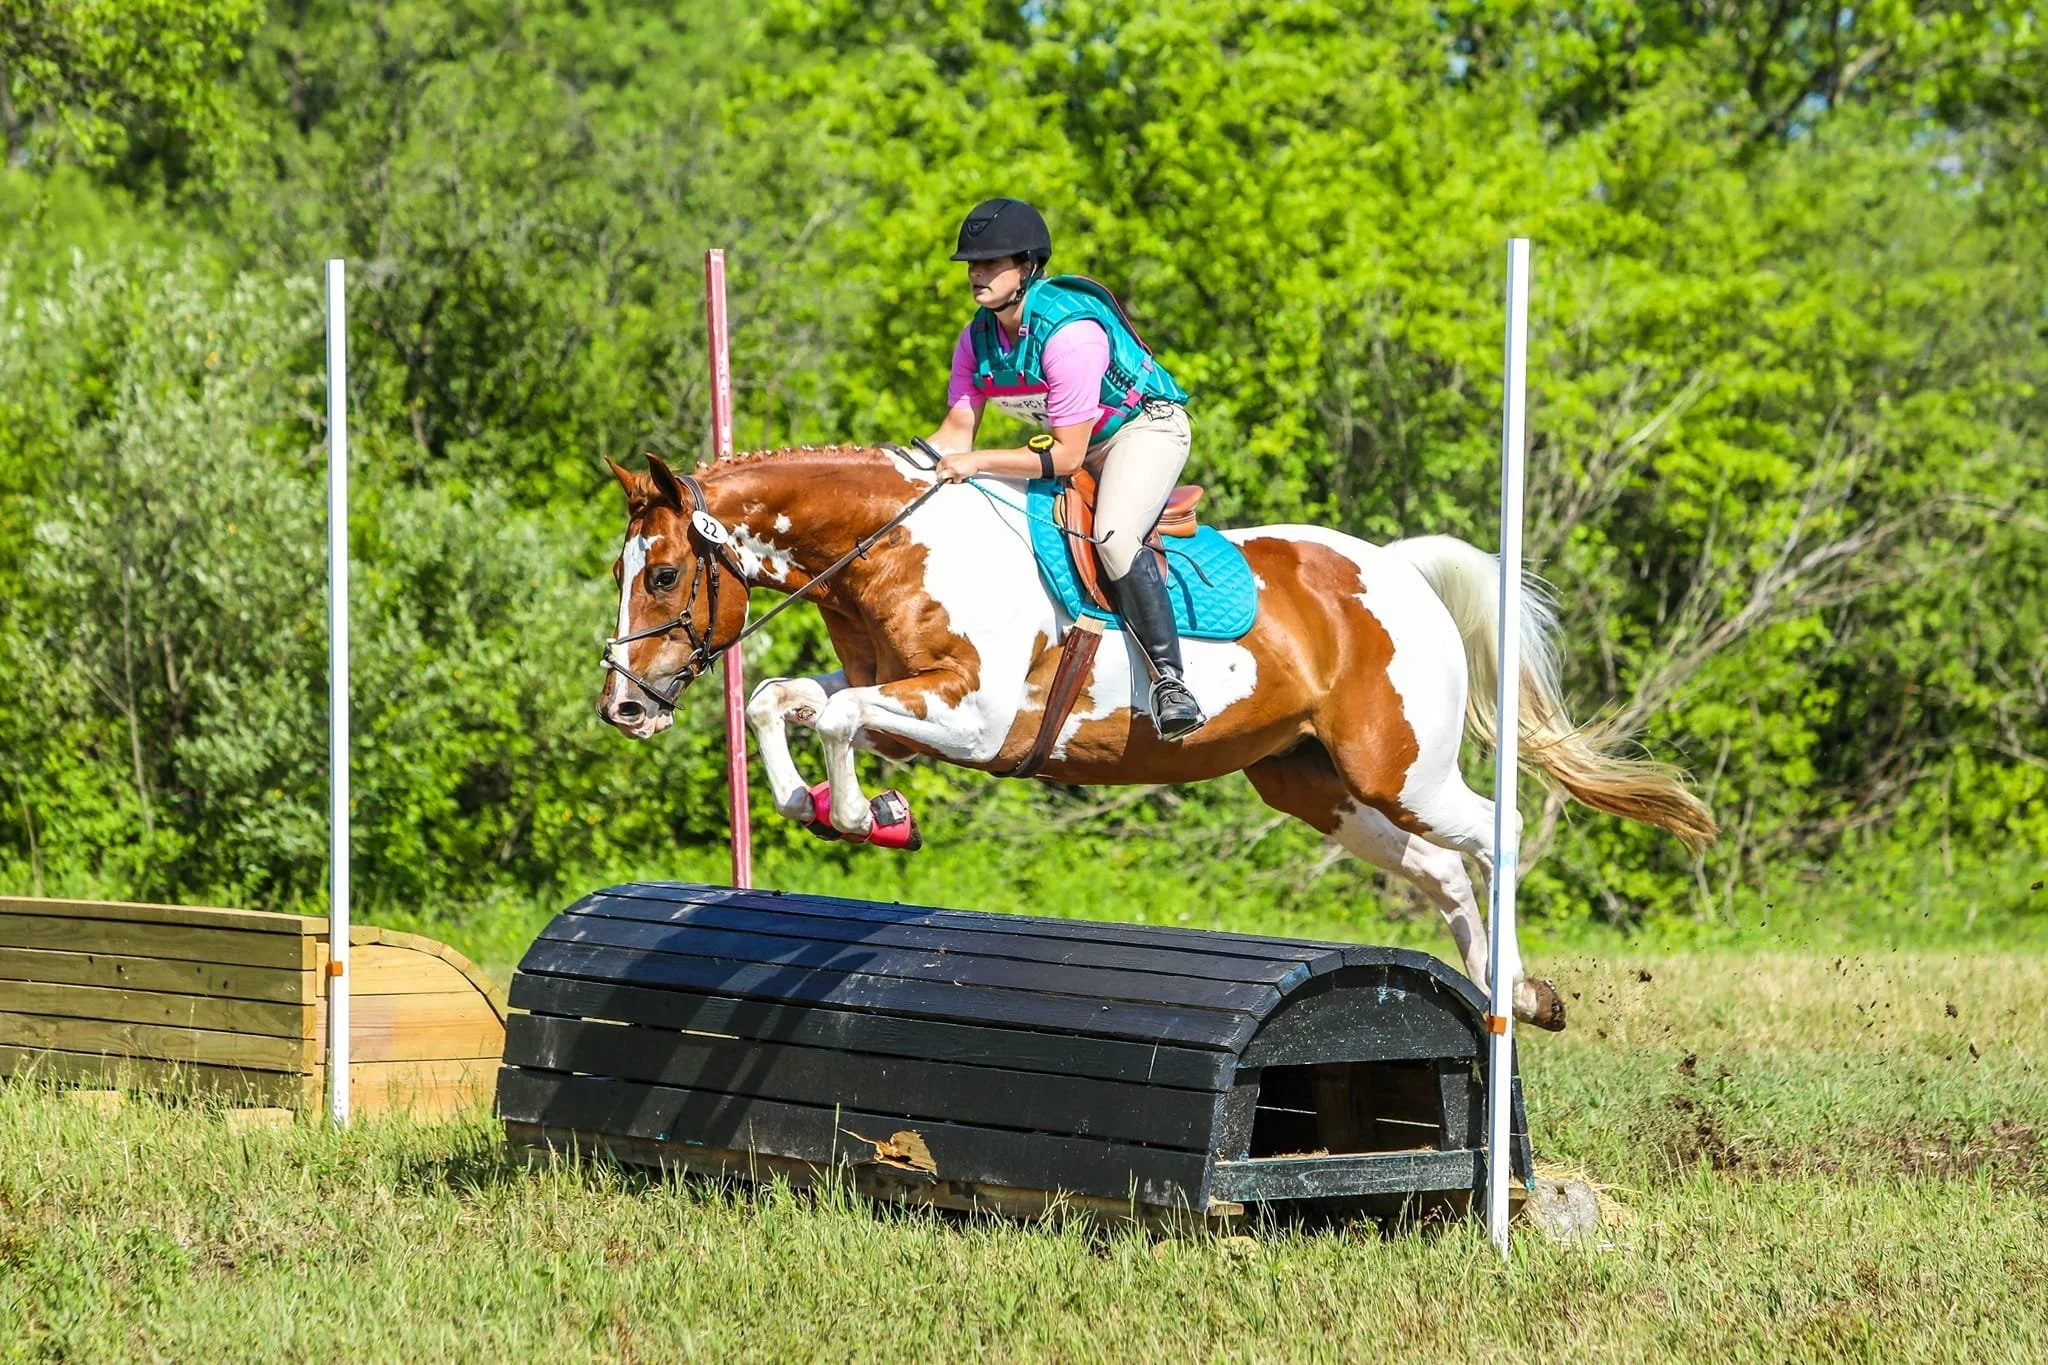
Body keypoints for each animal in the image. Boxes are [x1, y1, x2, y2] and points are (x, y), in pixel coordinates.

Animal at [597, 444, 1717, 1029]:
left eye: (663, 573)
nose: (623, 707)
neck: (894, 547)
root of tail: (1394, 568)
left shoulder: (973, 716)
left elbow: (824, 712)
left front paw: (865, 816)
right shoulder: (901, 700)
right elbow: (776, 696)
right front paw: (831, 804)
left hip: (1400, 767)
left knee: (1497, 830)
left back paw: (1516, 988)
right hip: (1314, 784)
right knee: (1442, 870)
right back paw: (1496, 990)